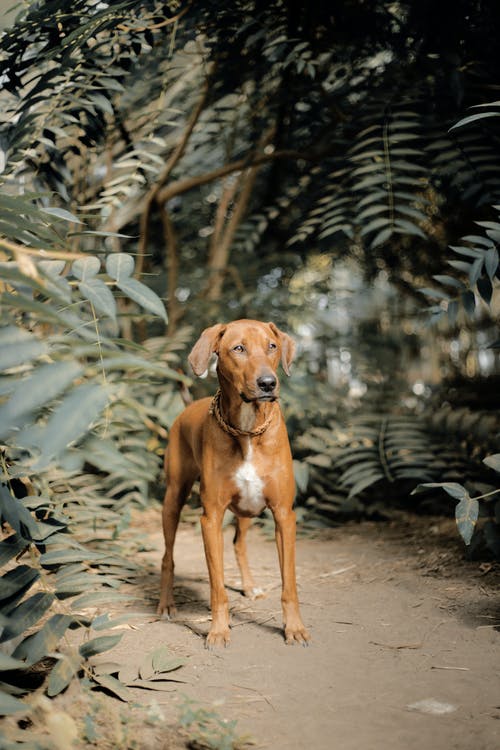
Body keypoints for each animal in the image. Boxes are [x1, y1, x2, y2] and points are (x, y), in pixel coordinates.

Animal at [159, 320, 308, 648]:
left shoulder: (284, 515)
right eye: (238, 348)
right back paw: (165, 603)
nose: (268, 383)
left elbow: (289, 584)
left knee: (239, 544)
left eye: (272, 346)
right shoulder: (210, 518)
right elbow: (217, 588)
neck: (248, 431)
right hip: (173, 499)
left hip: (246, 509)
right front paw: (217, 630)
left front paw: (294, 628)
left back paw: (250, 586)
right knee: (167, 556)